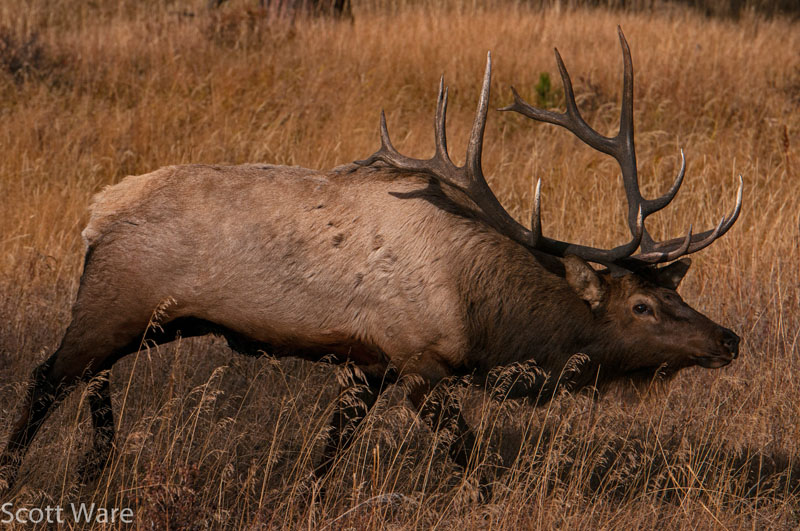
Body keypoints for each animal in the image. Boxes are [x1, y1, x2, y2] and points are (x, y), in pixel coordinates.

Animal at [0, 28, 742, 494]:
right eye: (642, 306)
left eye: (675, 293)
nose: (729, 338)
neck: (484, 311)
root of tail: (95, 213)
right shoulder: (417, 360)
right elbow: (471, 456)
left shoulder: (368, 363)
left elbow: (328, 452)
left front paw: (300, 495)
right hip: (113, 304)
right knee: (45, 377)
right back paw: (17, 472)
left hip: (146, 321)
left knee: (90, 384)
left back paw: (94, 463)